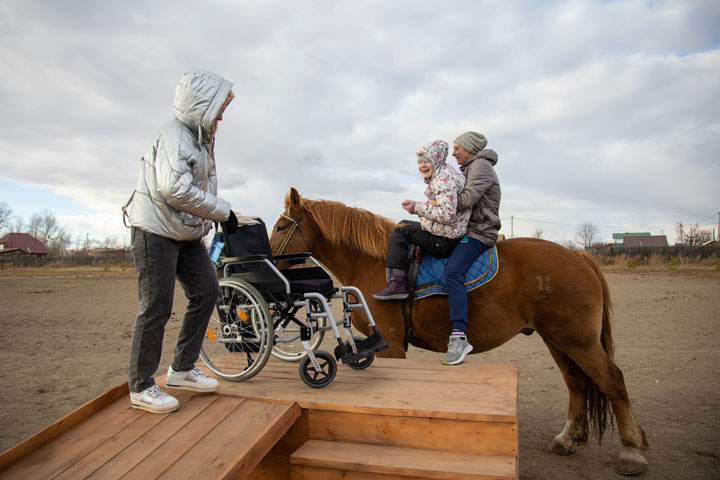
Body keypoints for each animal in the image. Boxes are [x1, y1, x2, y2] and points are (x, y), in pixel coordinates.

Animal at [268, 187, 648, 472]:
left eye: (280, 228)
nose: (263, 262)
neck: (374, 263)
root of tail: (578, 256)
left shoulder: (392, 345)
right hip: (559, 340)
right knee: (577, 384)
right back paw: (568, 439)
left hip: (577, 340)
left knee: (612, 380)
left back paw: (631, 451)